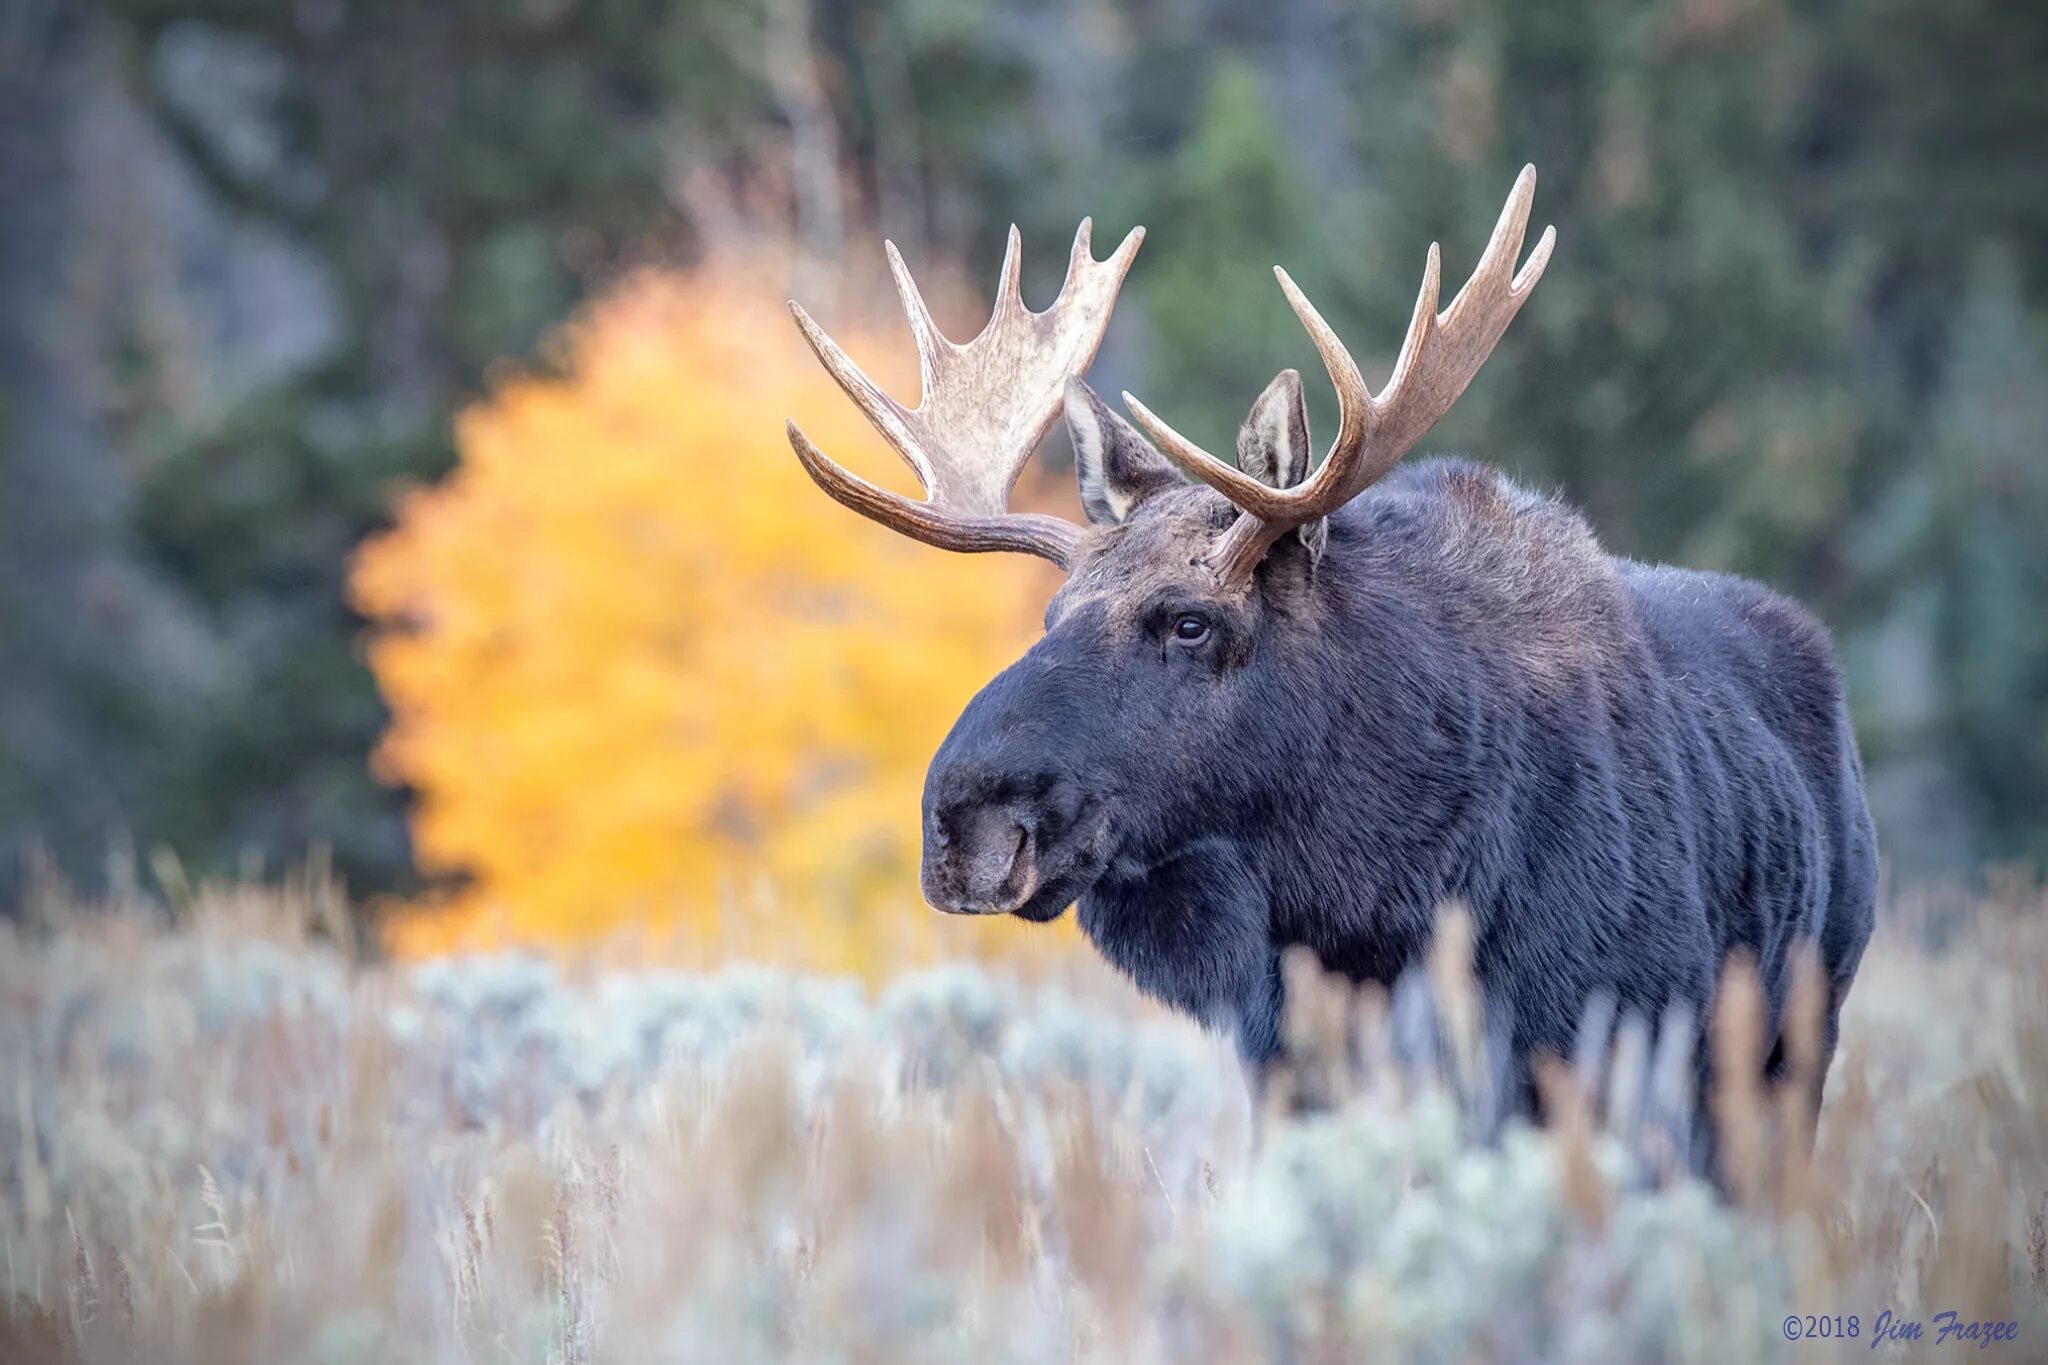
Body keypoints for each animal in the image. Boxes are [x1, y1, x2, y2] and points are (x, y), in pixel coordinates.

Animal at [778, 167, 1875, 1129]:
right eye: (1052, 616)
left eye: (1191, 620)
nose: (964, 825)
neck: (1361, 894)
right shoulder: (1286, 1059)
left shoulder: (1597, 1033)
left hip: (1795, 1039)